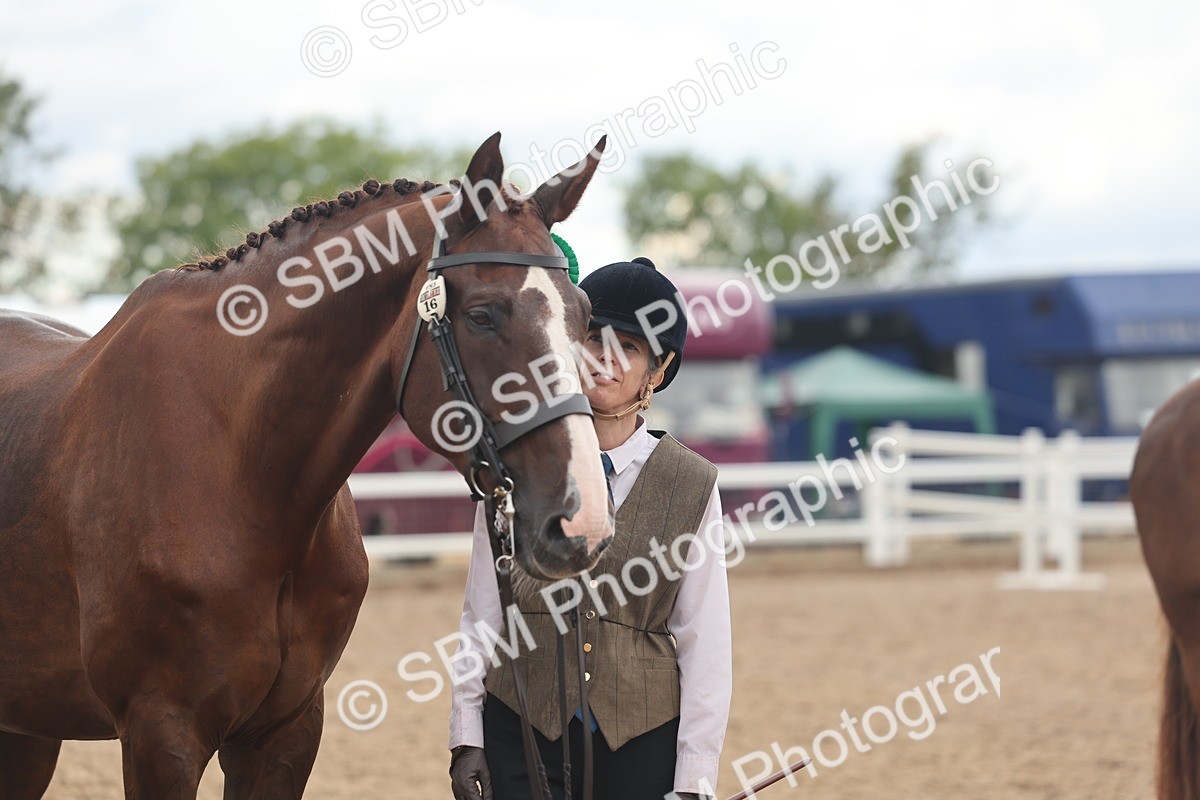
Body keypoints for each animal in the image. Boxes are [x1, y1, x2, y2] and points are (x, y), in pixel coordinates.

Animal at [0, 132, 614, 799]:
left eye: (584, 315)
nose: (583, 522)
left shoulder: (286, 731)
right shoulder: (160, 736)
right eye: (481, 315)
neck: (242, 476)